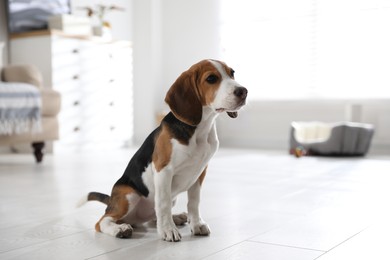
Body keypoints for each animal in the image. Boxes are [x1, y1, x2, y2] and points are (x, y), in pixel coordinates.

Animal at [79, 59, 247, 242]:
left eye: (232, 73)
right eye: (211, 79)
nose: (243, 91)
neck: (200, 129)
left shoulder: (200, 172)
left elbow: (194, 201)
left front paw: (196, 224)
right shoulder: (163, 169)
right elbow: (163, 202)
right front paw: (168, 230)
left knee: (153, 218)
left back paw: (177, 217)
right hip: (128, 195)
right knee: (102, 221)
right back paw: (120, 229)